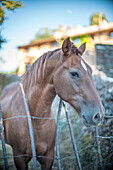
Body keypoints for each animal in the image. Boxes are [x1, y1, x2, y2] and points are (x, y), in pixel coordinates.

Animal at [0, 37, 104, 170]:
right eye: (74, 73)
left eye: (91, 71)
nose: (99, 115)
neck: (35, 119)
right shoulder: (19, 158)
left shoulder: (48, 157)